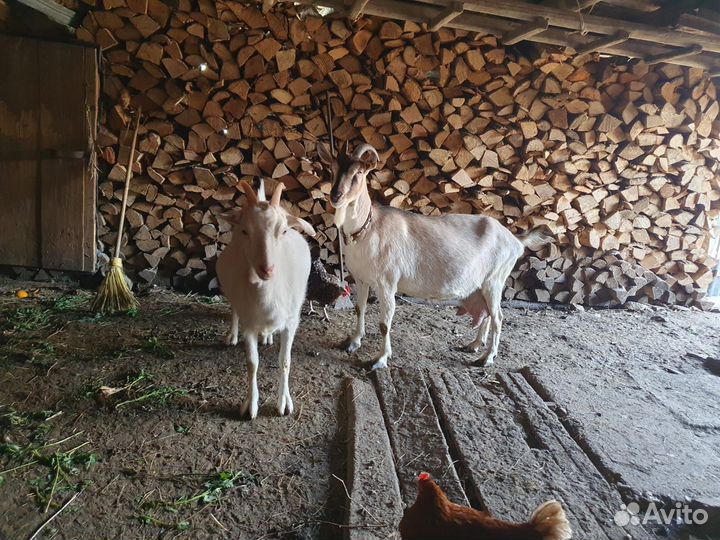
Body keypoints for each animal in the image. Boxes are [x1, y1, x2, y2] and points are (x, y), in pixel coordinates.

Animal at [216, 180, 315, 419]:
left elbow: (285, 361)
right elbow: (252, 363)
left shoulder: (291, 322)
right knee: (234, 310)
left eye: (284, 230)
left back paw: (268, 335)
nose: (267, 269)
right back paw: (232, 335)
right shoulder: (249, 324)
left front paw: (283, 403)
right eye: (245, 231)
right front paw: (250, 405)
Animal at [318, 143, 552, 369]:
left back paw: (487, 358)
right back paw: (474, 345)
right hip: (482, 284)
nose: (336, 196)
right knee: (486, 314)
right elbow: (360, 308)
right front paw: (353, 342)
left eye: (358, 173)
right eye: (333, 169)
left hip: (495, 280)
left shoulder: (387, 283)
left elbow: (385, 324)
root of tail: (516, 240)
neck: (368, 228)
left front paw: (380, 359)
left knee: (498, 317)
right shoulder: (361, 278)